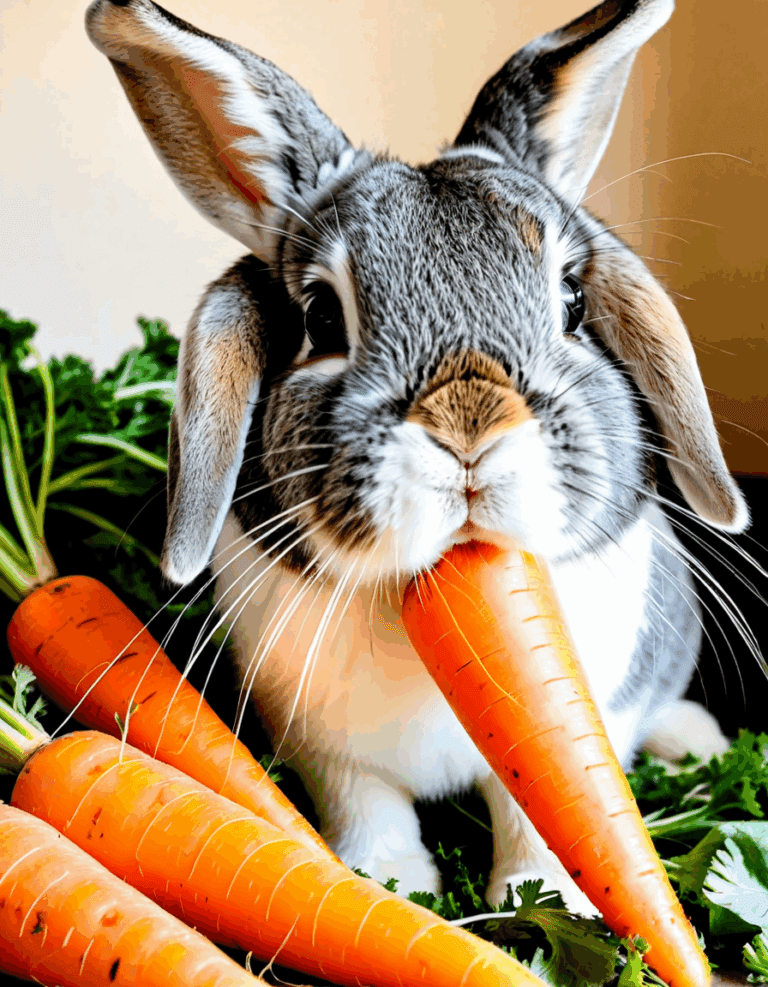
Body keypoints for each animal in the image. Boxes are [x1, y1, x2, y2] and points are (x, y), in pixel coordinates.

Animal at [86, 0, 748, 912]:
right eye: (321, 317)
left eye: (574, 301)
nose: (469, 428)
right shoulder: (328, 748)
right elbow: (368, 805)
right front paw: (390, 884)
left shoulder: (586, 718)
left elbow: (543, 810)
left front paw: (539, 897)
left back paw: (698, 742)